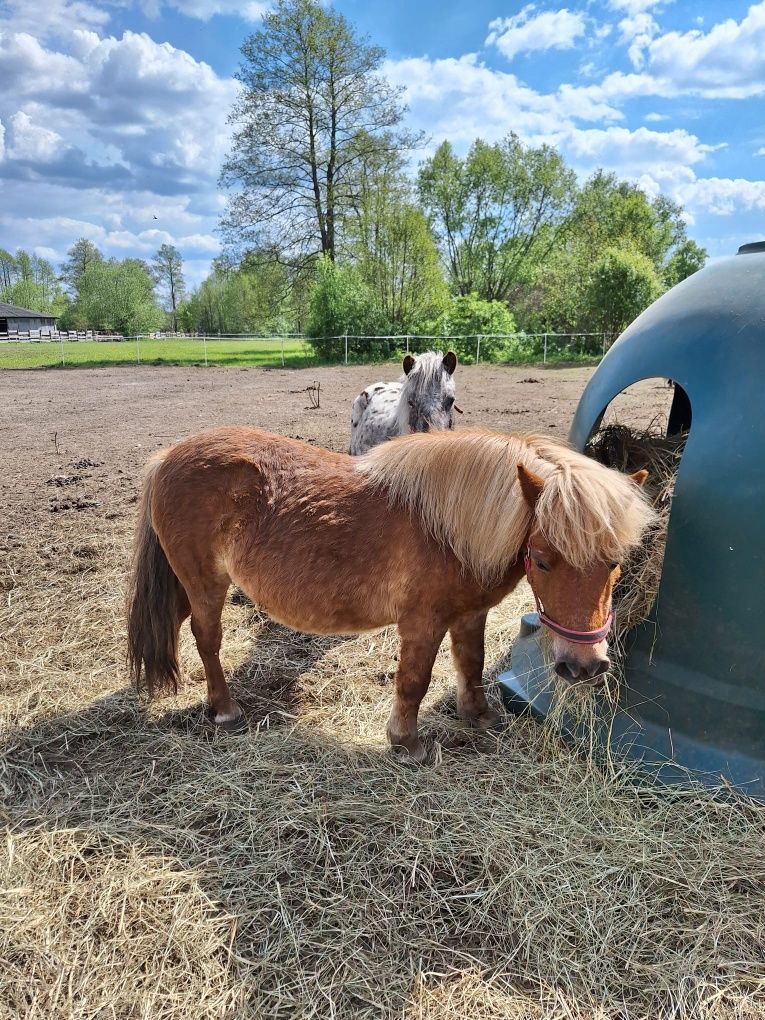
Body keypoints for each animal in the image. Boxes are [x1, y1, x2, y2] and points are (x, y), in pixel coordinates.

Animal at [129, 426, 656, 762]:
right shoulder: (422, 622)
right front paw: (407, 744)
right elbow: (414, 682)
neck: (450, 528)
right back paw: (225, 710)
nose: (583, 667)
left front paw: (479, 717)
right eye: (543, 559)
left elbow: (472, 664)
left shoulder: (470, 615)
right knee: (207, 639)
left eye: (616, 561)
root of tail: (166, 457)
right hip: (206, 586)